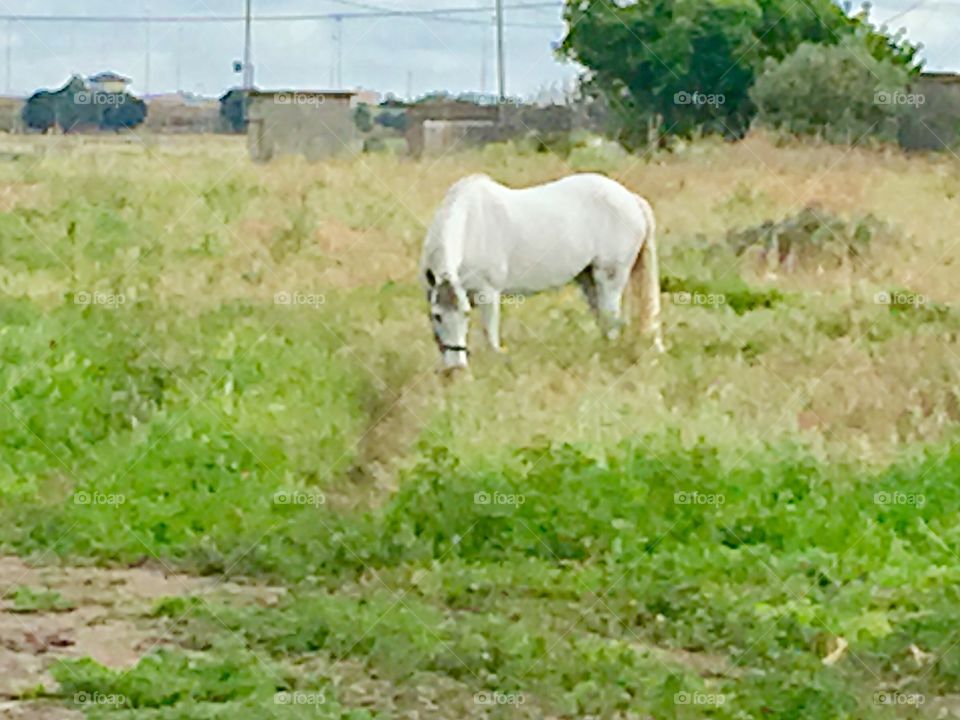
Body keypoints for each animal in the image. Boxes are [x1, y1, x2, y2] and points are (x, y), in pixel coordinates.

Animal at [424, 172, 664, 368]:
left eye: (465, 314)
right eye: (437, 316)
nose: (456, 367)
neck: (472, 224)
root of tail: (632, 199)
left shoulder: (488, 294)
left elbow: (490, 336)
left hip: (610, 278)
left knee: (612, 322)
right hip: (589, 280)